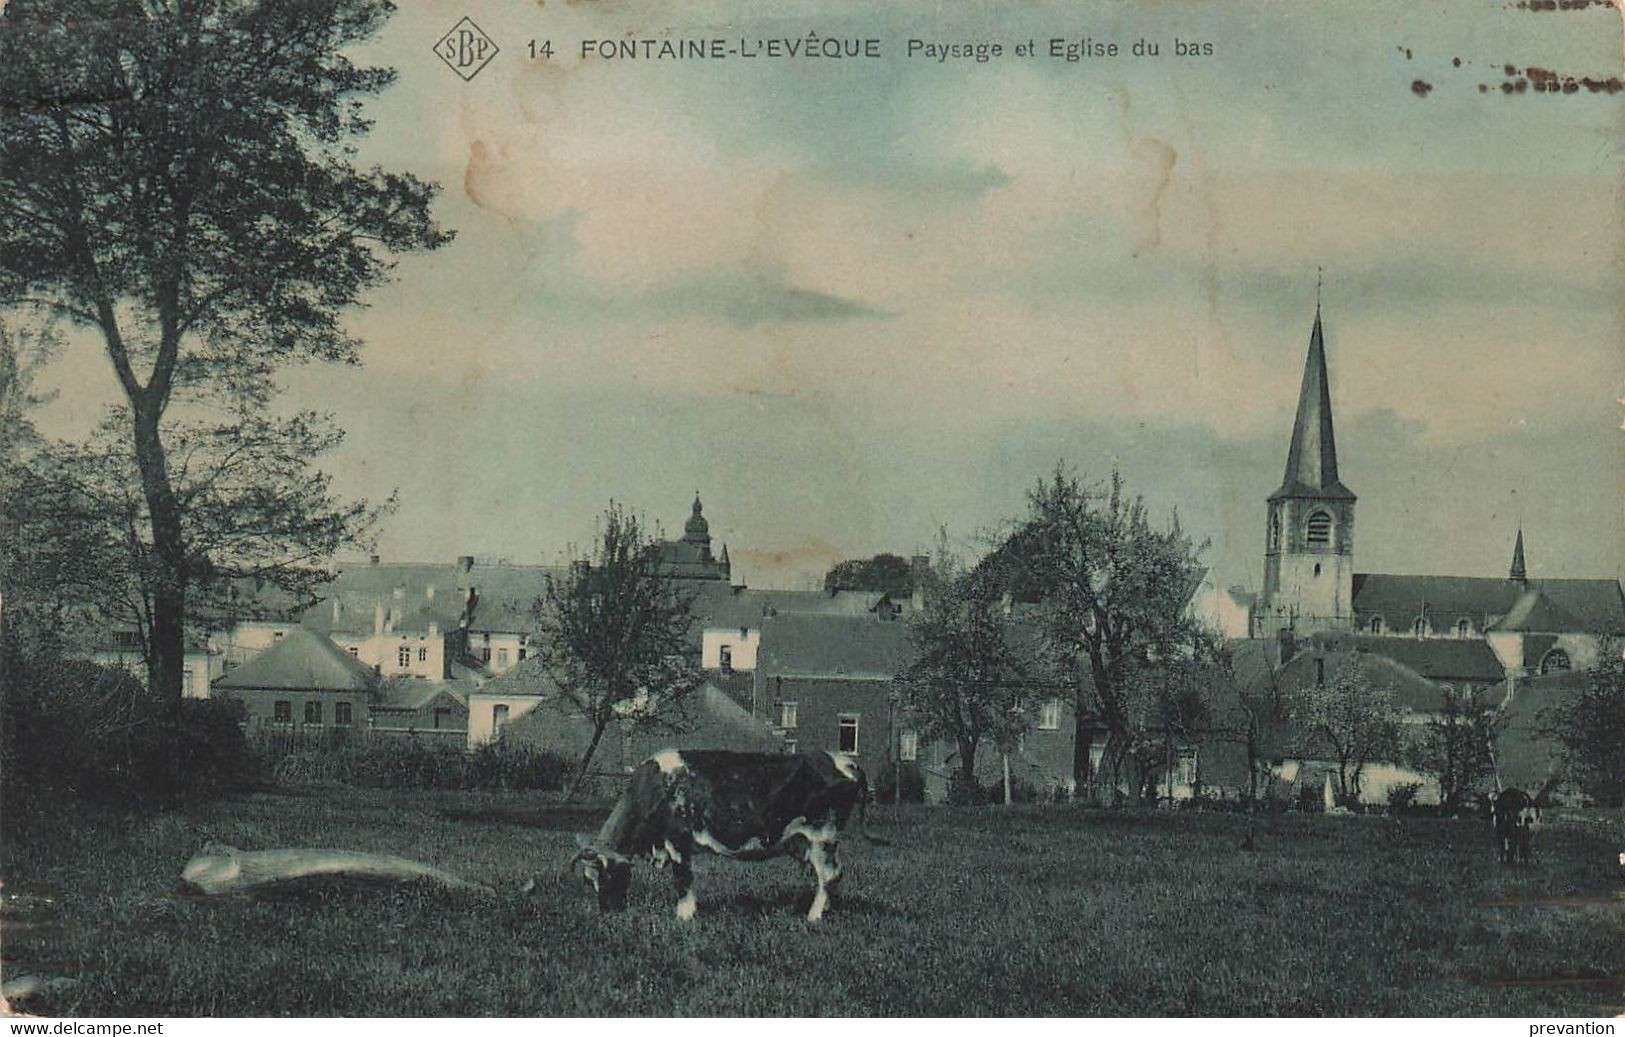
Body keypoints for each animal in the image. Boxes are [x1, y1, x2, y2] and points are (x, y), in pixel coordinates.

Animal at [575, 747, 871, 923]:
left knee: (829, 876)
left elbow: (683, 881)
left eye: (606, 875)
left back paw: (813, 916)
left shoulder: (678, 840)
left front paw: (684, 917)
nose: (607, 912)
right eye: (588, 880)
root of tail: (844, 761)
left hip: (823, 837)